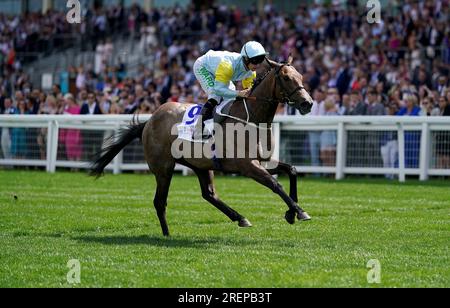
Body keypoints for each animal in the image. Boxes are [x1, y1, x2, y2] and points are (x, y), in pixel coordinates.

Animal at [90, 57, 314, 236]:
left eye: (301, 76)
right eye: (286, 78)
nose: (308, 103)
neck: (251, 117)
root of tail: (149, 120)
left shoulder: (263, 161)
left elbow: (292, 170)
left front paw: (292, 212)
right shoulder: (247, 165)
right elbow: (276, 185)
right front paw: (299, 211)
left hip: (200, 165)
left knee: (209, 194)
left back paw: (240, 218)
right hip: (163, 168)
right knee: (160, 201)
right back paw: (166, 234)